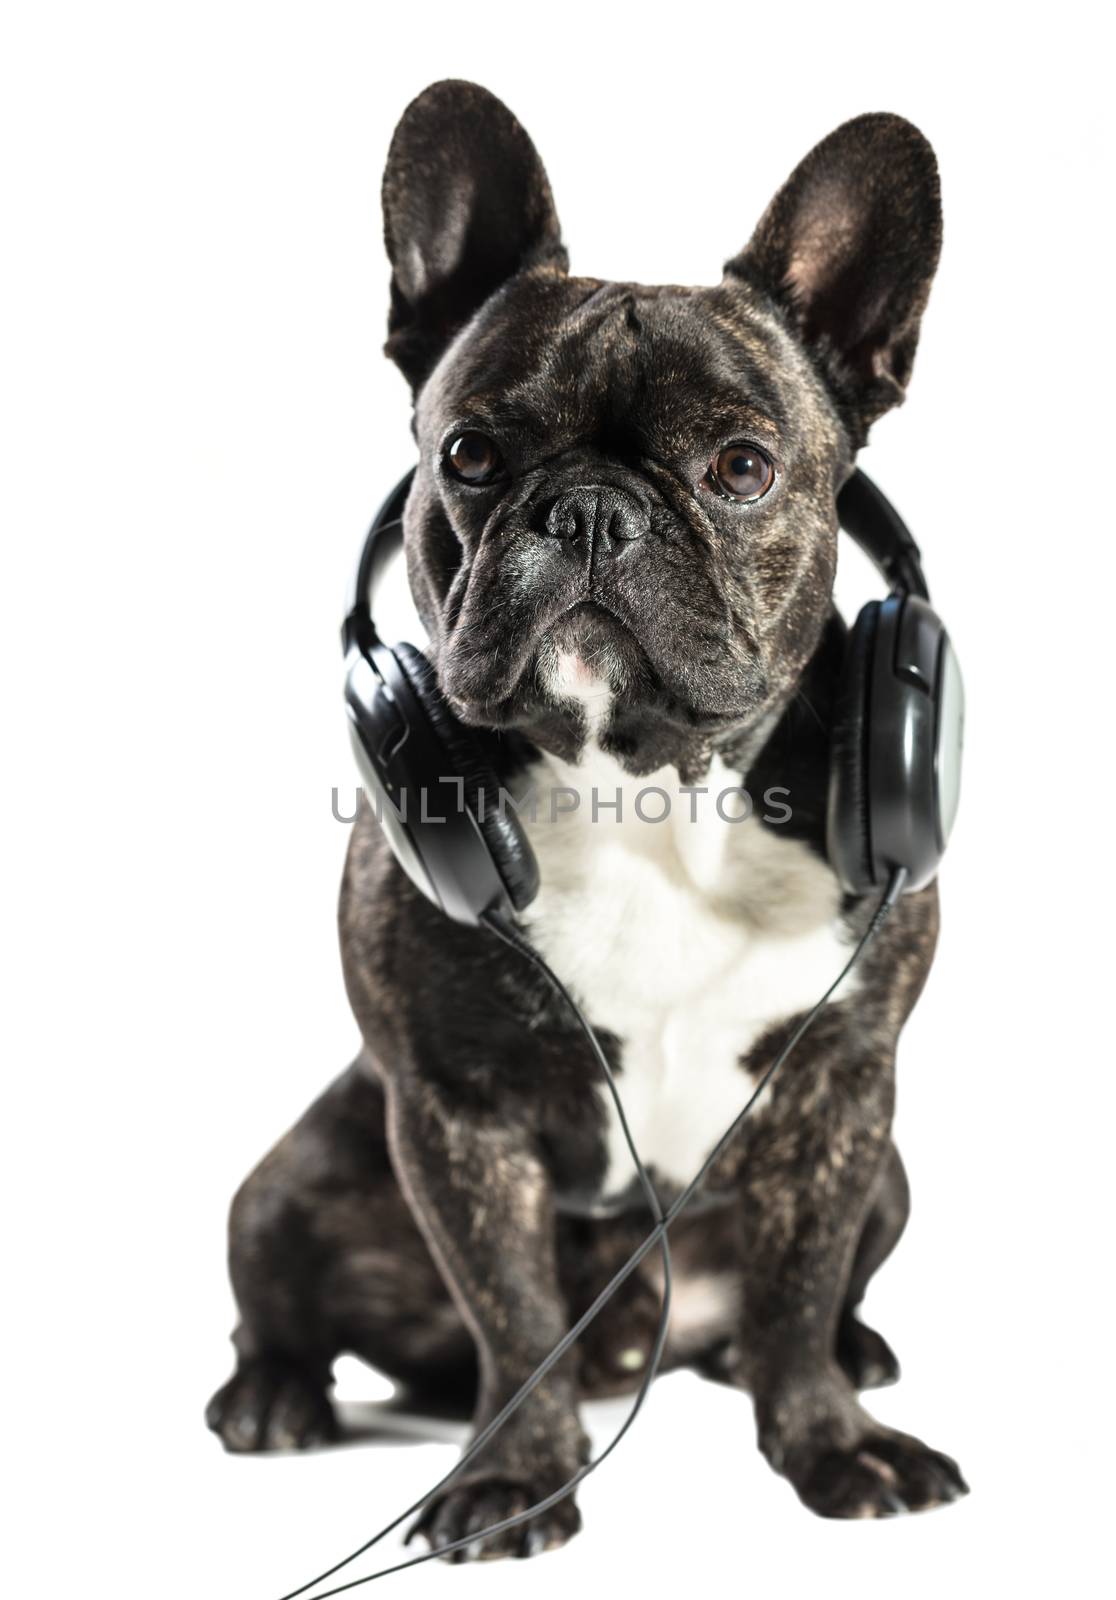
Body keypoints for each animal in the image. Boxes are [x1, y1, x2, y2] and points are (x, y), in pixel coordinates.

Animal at [206, 81, 965, 1555]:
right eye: (471, 453)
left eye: (741, 465)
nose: (593, 509)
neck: (644, 785)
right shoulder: (455, 1111)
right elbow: (512, 1311)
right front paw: (512, 1479)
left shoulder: (845, 1092)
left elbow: (798, 1292)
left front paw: (830, 1442)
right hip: (291, 1182)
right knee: (279, 1300)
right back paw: (272, 1398)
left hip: (896, 1172)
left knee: (803, 1305)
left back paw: (854, 1358)